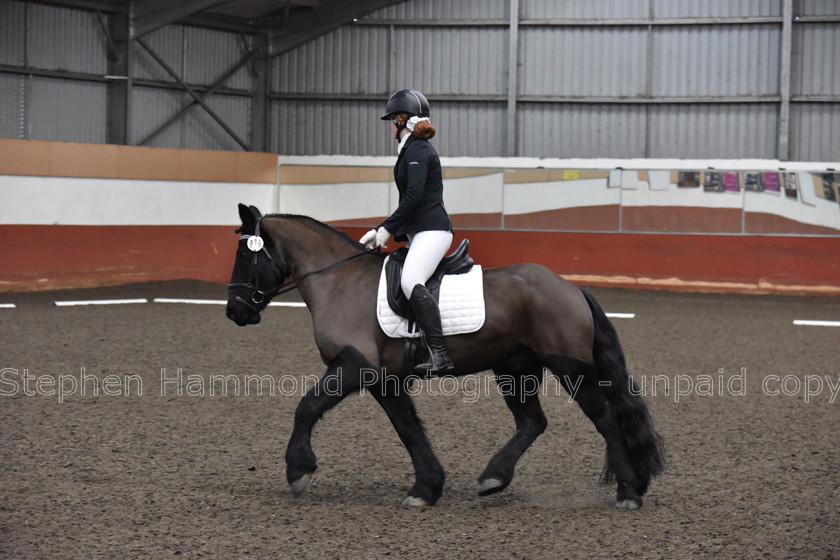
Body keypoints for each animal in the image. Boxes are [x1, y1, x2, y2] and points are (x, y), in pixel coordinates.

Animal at [226, 203, 668, 510]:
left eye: (246, 256)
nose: (235, 312)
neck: (339, 282)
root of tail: (572, 287)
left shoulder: (353, 365)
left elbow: (306, 406)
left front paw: (298, 471)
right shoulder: (384, 379)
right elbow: (408, 430)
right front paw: (426, 488)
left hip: (568, 365)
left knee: (605, 419)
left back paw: (629, 492)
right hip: (515, 368)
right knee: (532, 422)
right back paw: (494, 478)